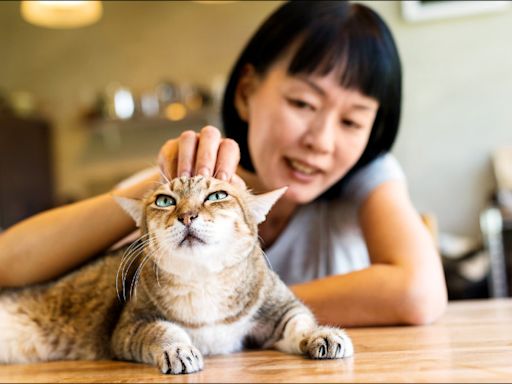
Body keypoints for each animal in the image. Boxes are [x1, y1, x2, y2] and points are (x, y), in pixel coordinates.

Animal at [0, 177, 352, 376]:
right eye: (164, 200)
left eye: (217, 195)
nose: (187, 215)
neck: (203, 279)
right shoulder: (130, 325)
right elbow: (163, 331)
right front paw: (178, 350)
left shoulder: (279, 308)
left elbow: (300, 322)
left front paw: (323, 335)